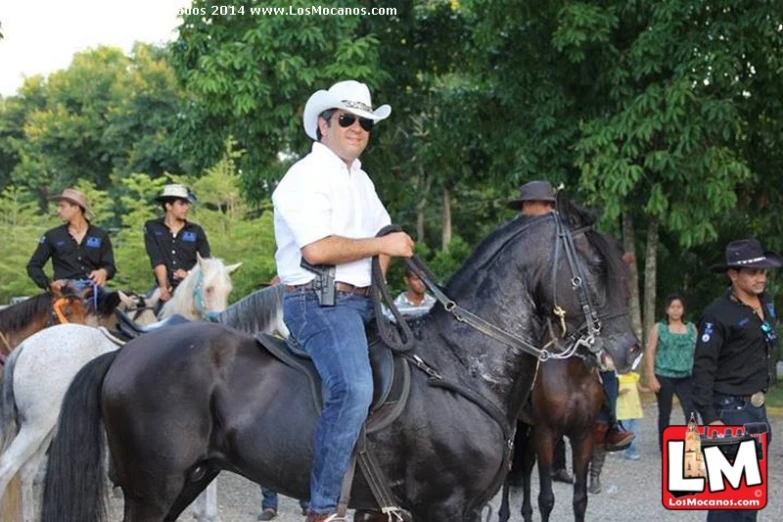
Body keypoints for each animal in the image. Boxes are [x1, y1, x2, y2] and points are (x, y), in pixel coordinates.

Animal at [500, 354, 604, 520]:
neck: (575, 374)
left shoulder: (583, 436)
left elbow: (580, 500)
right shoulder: (546, 435)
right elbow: (546, 500)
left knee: (527, 462)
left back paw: (527, 513)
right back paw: (504, 514)